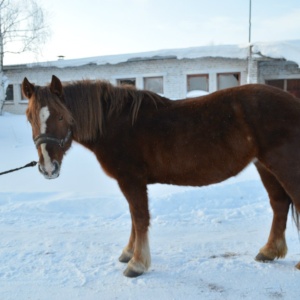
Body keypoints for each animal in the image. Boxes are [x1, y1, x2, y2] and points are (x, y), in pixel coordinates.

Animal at [22, 76, 300, 278]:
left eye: (60, 116)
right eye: (29, 117)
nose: (48, 168)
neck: (115, 123)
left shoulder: (131, 180)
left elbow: (139, 218)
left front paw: (136, 264)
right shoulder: (131, 182)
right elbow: (134, 219)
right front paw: (129, 253)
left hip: (283, 165)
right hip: (264, 167)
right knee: (279, 204)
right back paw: (268, 251)